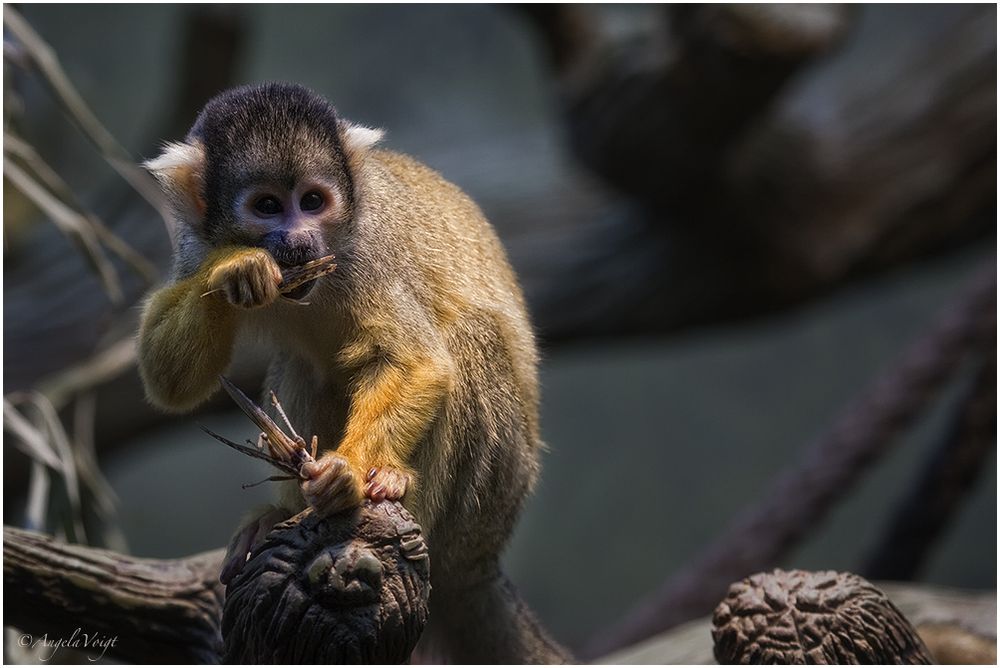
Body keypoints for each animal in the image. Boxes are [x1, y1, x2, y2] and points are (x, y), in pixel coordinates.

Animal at [139, 85, 572, 664]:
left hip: (494, 494)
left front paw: (345, 472)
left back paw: (393, 489)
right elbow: (170, 381)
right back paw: (283, 511)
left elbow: (417, 360)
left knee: (468, 336)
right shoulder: (195, 242)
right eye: (267, 206)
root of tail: (485, 563)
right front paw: (238, 267)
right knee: (304, 368)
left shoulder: (369, 250)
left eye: (313, 202)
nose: (299, 241)